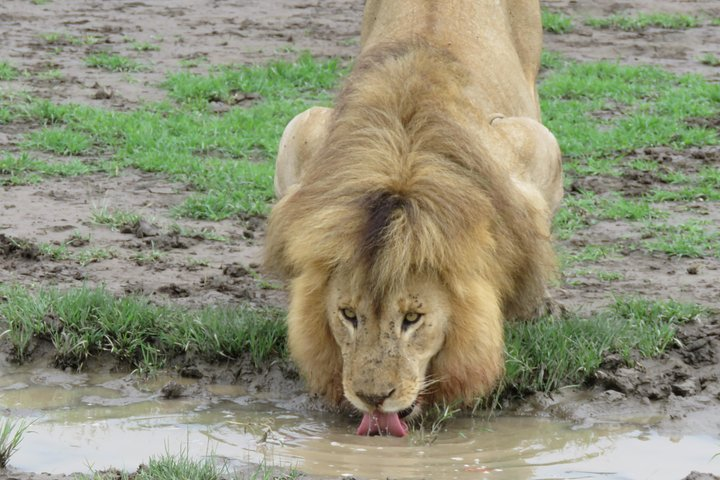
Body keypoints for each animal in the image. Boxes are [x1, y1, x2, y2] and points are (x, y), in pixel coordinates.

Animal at [264, 0, 563, 437]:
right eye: (348, 315)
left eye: (412, 319)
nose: (373, 398)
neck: (402, 162)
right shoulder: (304, 132)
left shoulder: (536, 146)